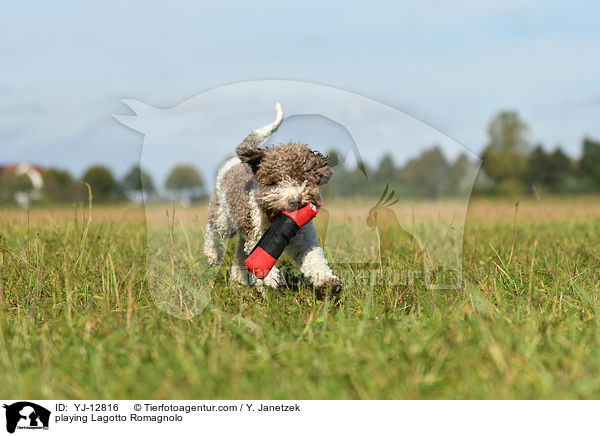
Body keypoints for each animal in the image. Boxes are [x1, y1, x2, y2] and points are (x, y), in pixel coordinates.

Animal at [204, 102, 342, 294]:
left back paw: (238, 279)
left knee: (240, 252)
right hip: (222, 216)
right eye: (274, 182)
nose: (295, 201)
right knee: (214, 233)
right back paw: (212, 257)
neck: (273, 217)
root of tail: (233, 162)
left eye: (302, 178)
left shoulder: (302, 236)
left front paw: (328, 281)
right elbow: (261, 259)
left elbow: (313, 257)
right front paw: (269, 284)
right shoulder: (256, 234)